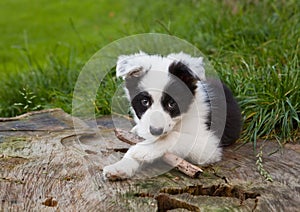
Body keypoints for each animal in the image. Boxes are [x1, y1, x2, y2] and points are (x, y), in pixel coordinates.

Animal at [103, 52, 241, 180]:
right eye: (145, 102)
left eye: (172, 104)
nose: (156, 131)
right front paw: (120, 166)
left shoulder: (209, 145)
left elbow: (174, 137)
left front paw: (144, 150)